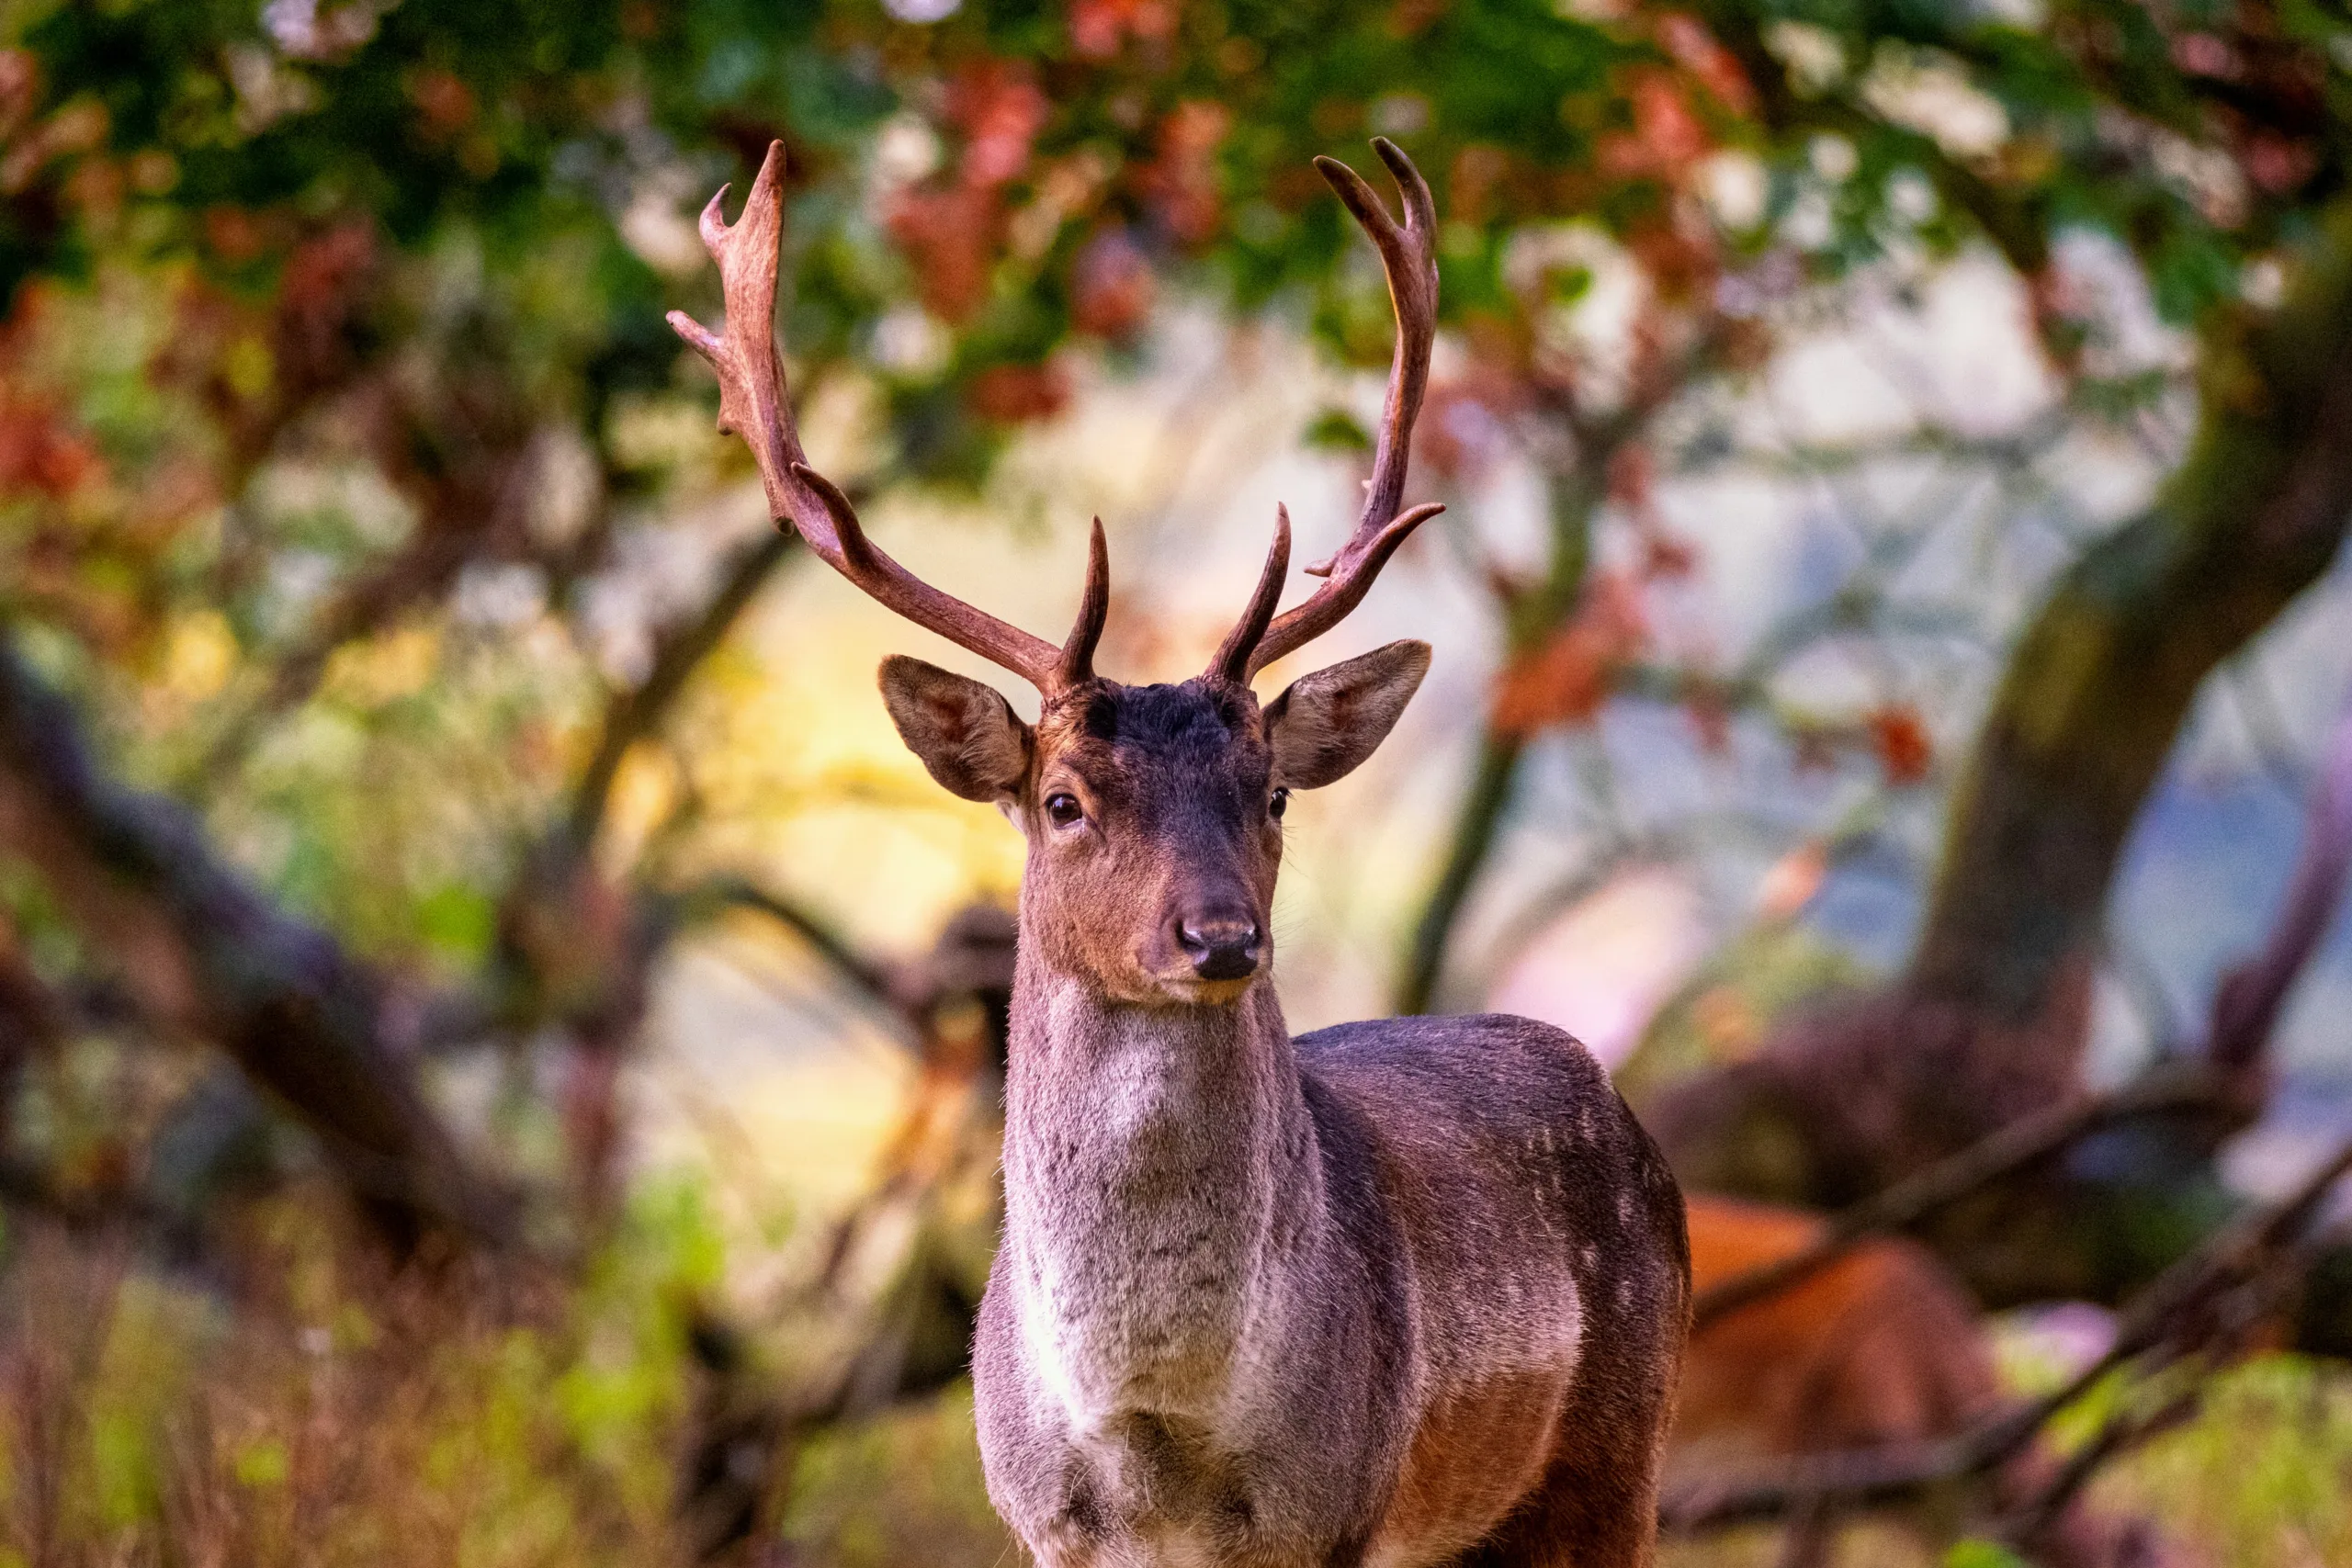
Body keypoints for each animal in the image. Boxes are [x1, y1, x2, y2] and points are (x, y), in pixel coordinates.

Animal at [671, 137, 1690, 1568]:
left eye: (1272, 792)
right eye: (1062, 798)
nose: (1220, 936)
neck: (1155, 1442)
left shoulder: (1333, 1506)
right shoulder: (1038, 1518)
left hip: (1612, 1455)